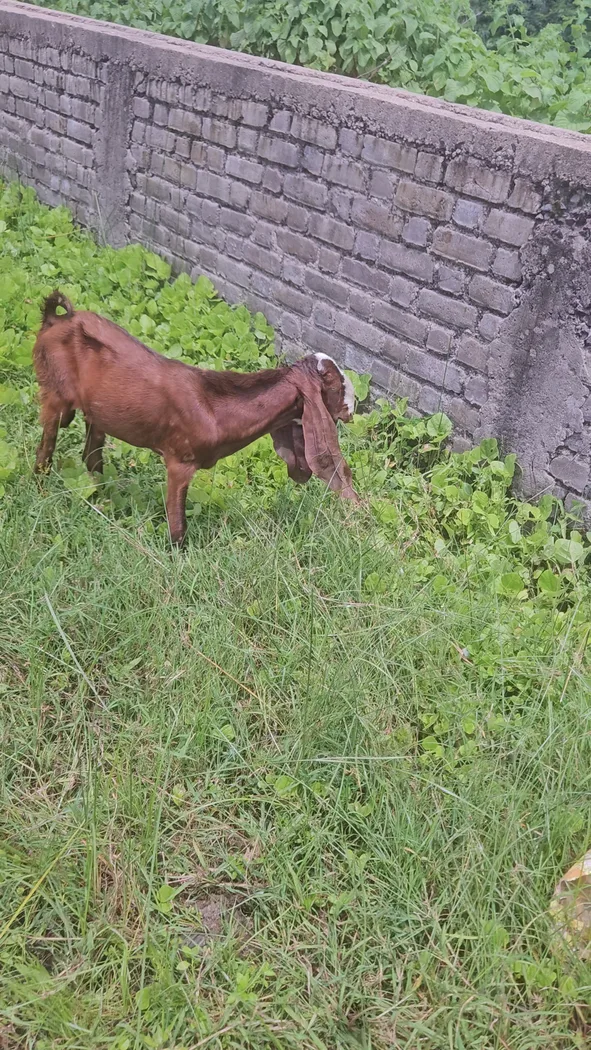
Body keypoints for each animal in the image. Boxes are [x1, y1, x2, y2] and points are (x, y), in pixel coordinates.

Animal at [33, 291, 359, 544]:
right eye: (335, 384)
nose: (352, 410)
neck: (215, 411)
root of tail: (56, 319)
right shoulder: (179, 461)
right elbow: (177, 525)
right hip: (55, 392)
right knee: (47, 445)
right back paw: (41, 489)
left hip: (95, 411)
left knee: (92, 451)